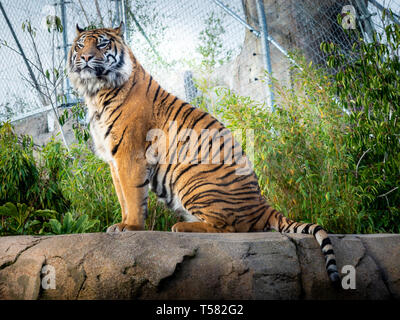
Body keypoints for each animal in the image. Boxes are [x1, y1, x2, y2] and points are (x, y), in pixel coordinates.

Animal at [67, 21, 340, 282]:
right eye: (80, 45)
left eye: (102, 44)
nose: (86, 57)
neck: (97, 91)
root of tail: (264, 204)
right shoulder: (113, 160)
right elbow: (123, 196)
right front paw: (120, 225)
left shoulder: (130, 153)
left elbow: (133, 197)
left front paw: (131, 227)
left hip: (192, 180)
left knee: (231, 229)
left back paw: (181, 227)